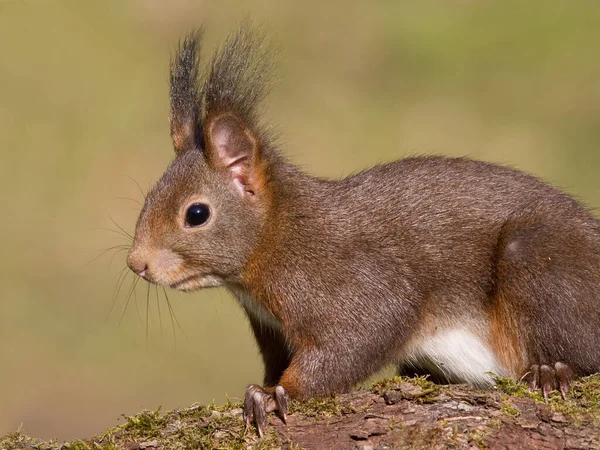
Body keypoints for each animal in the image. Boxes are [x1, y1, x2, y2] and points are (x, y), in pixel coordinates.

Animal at [126, 24, 600, 436]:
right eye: (150, 194)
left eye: (196, 214)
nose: (136, 264)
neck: (276, 239)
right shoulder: (270, 329)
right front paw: (268, 386)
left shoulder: (355, 284)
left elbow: (357, 341)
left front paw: (275, 395)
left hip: (538, 259)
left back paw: (551, 370)